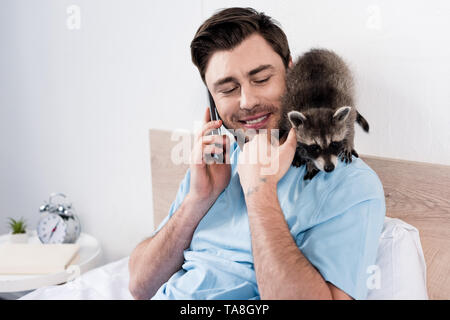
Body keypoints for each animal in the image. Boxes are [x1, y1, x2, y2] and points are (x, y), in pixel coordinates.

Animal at [280, 49, 370, 181]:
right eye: (314, 147)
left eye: (334, 144)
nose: (329, 168)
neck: (318, 106)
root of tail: (315, 51)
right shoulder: (290, 107)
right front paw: (309, 160)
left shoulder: (343, 99)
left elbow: (349, 123)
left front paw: (348, 141)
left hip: (345, 77)